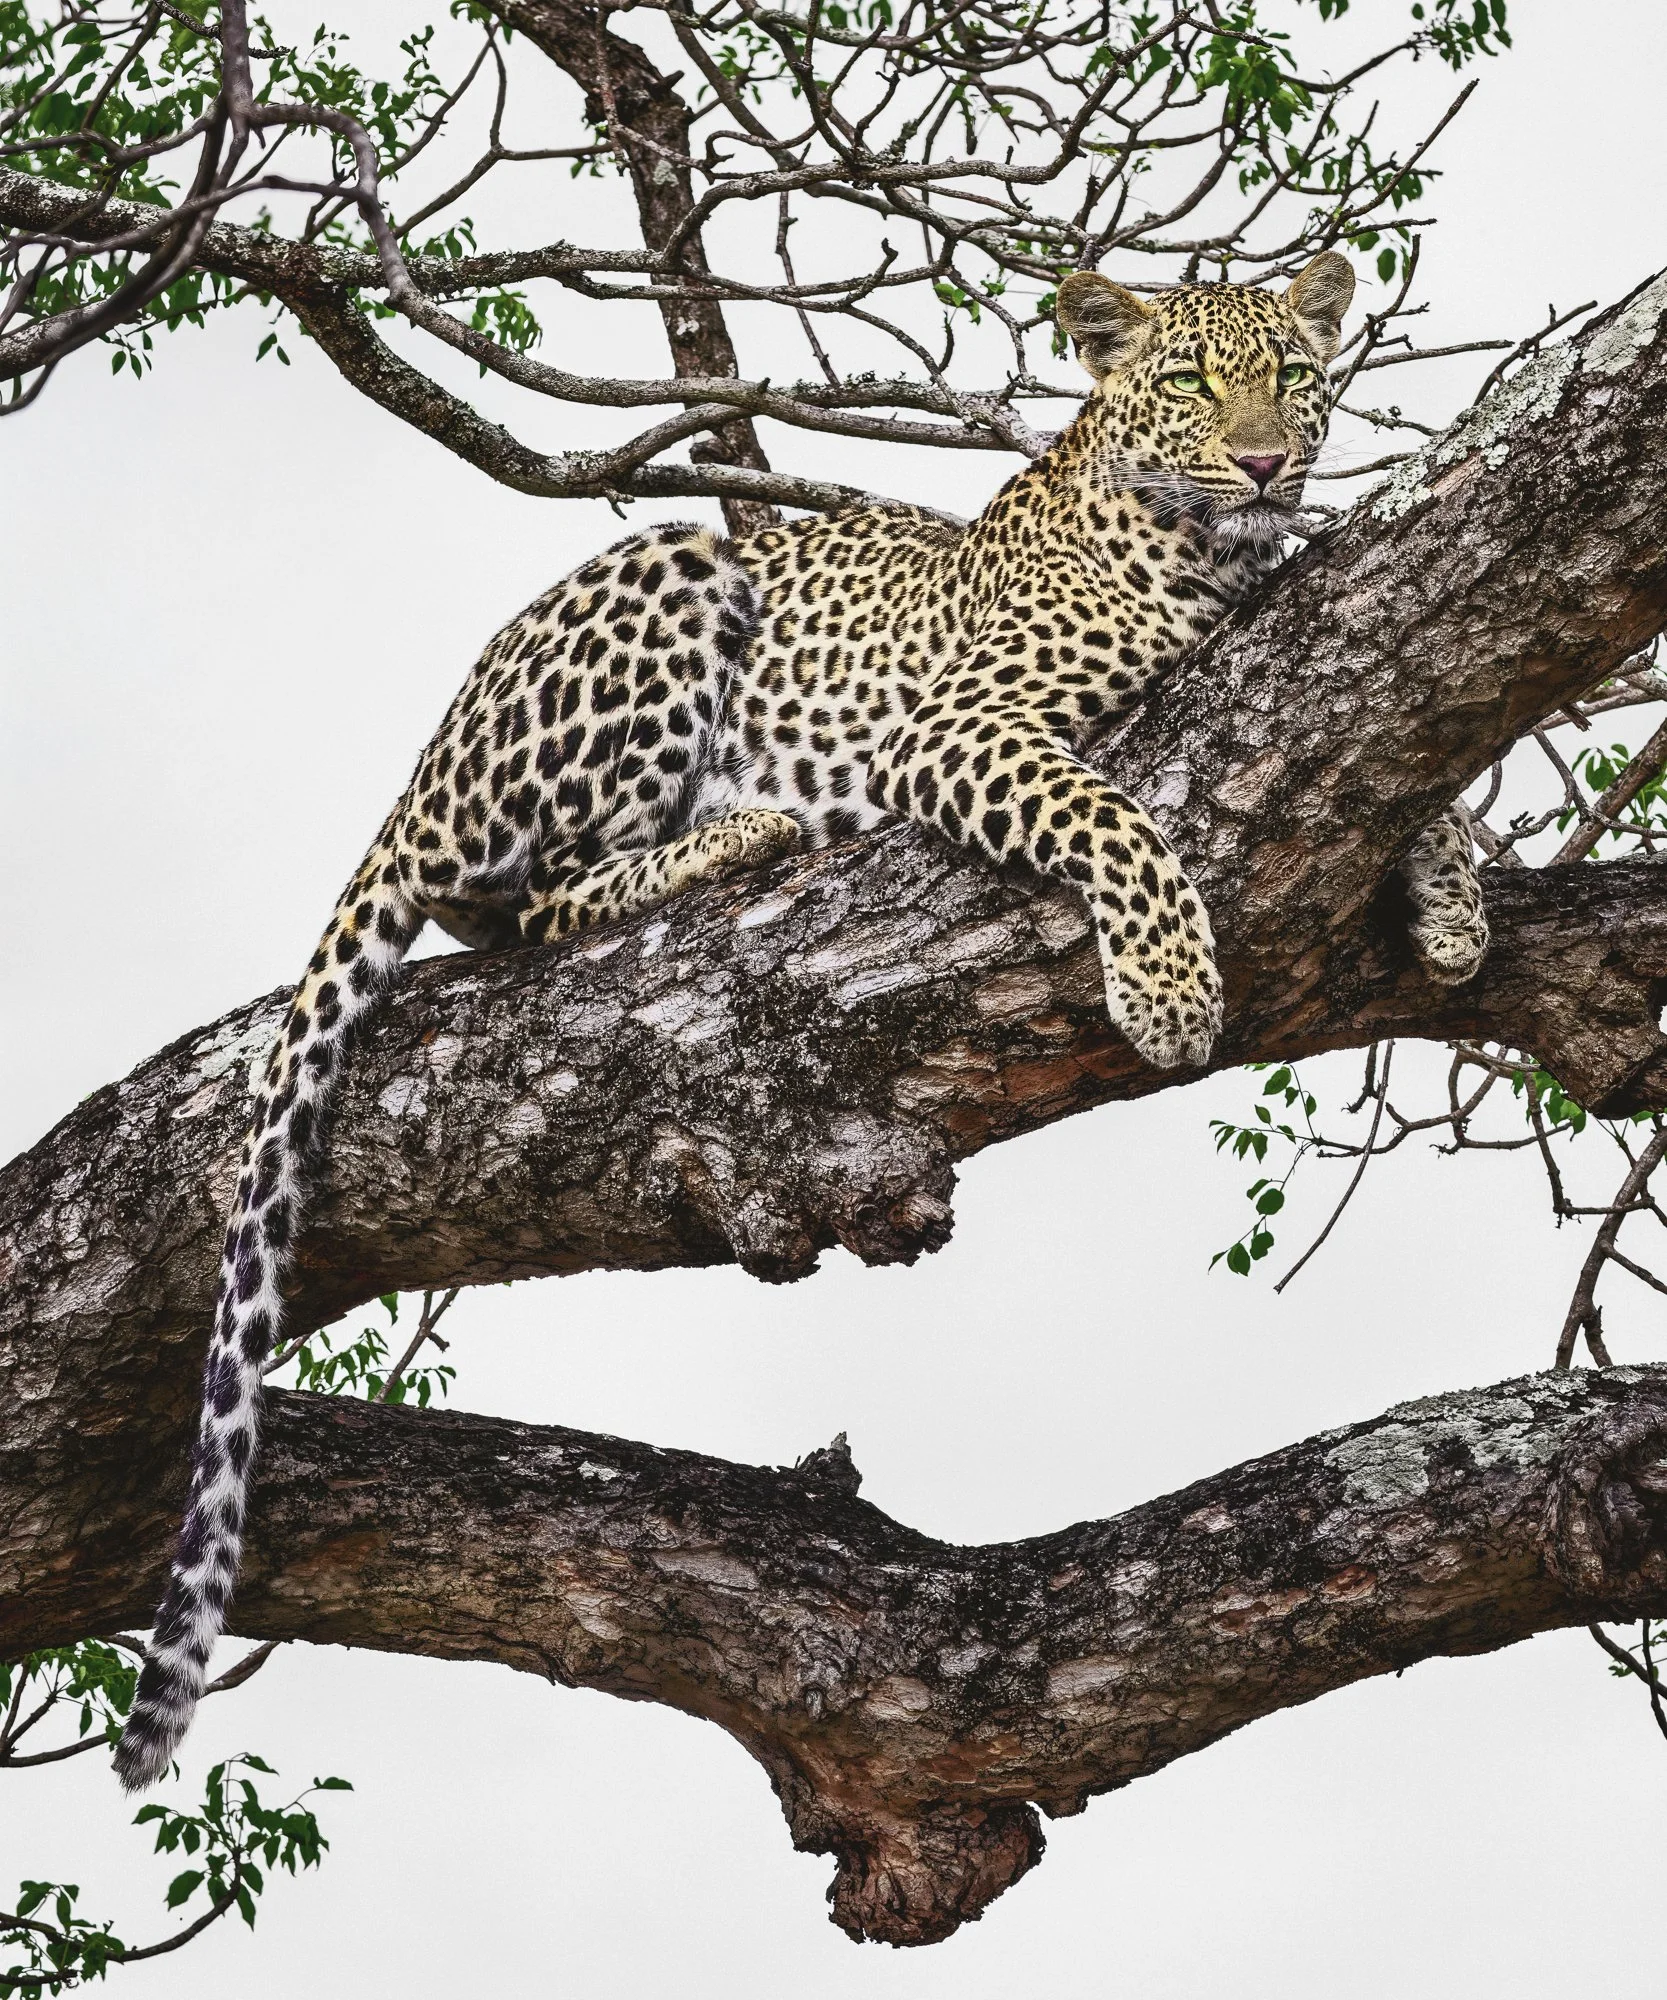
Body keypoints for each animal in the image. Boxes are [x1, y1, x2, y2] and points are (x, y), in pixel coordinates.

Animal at [114, 251, 1488, 1789]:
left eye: (1292, 377)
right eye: (1190, 381)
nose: (1262, 461)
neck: (1211, 561)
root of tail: (426, 763)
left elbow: (1433, 779)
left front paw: (1450, 906)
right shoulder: (961, 727)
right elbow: (1115, 814)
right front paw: (1168, 984)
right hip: (664, 584)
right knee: (521, 896)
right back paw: (737, 833)